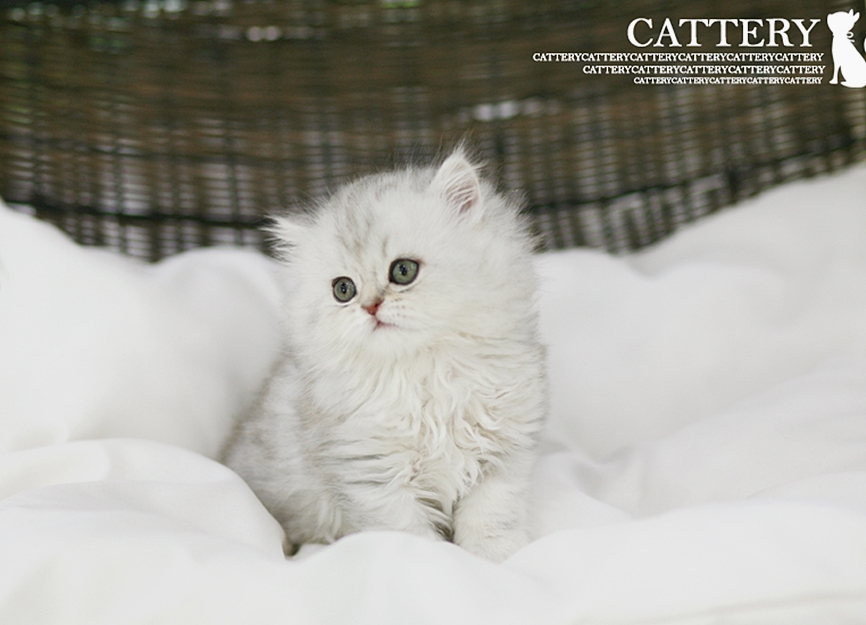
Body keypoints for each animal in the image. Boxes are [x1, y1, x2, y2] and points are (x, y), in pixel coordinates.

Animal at [222, 149, 548, 562]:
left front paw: (497, 559)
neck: (427, 374)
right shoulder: (373, 477)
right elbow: (409, 536)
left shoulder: (503, 455)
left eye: (403, 271)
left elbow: (491, 517)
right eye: (343, 290)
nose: (370, 306)